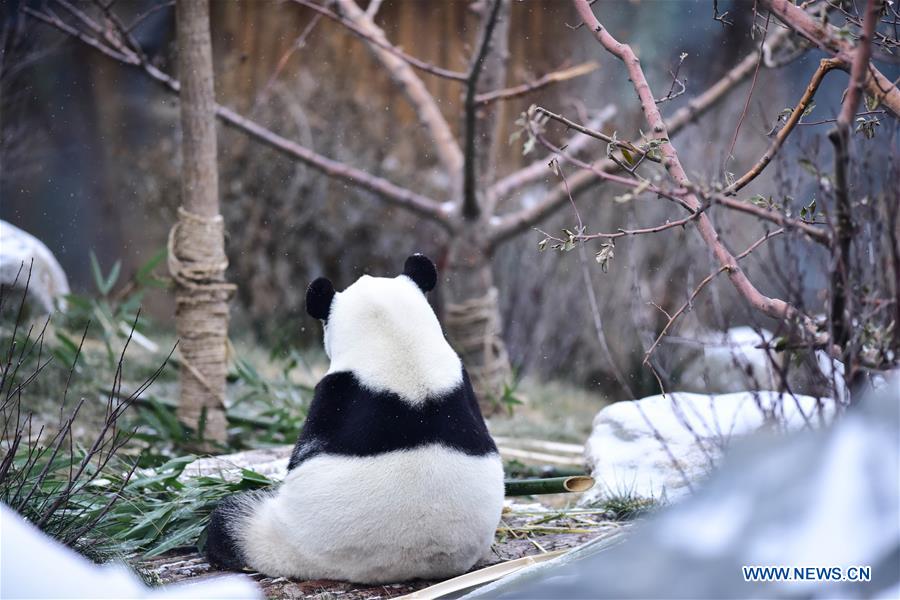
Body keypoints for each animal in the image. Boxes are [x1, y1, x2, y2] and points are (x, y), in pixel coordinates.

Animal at [205, 253, 510, 580]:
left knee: (230, 521)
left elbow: (305, 450)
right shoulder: (463, 383)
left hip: (280, 539)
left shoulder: (335, 396)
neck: (398, 343)